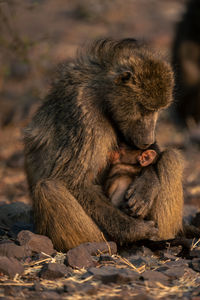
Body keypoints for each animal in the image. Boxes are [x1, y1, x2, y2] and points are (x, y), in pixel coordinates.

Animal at [23, 38, 184, 252]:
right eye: (144, 109)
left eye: (157, 110)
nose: (148, 138)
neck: (103, 93)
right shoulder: (84, 114)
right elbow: (73, 181)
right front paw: (135, 230)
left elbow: (153, 153)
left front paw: (146, 184)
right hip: (101, 234)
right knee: (47, 188)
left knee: (171, 157)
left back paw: (163, 242)